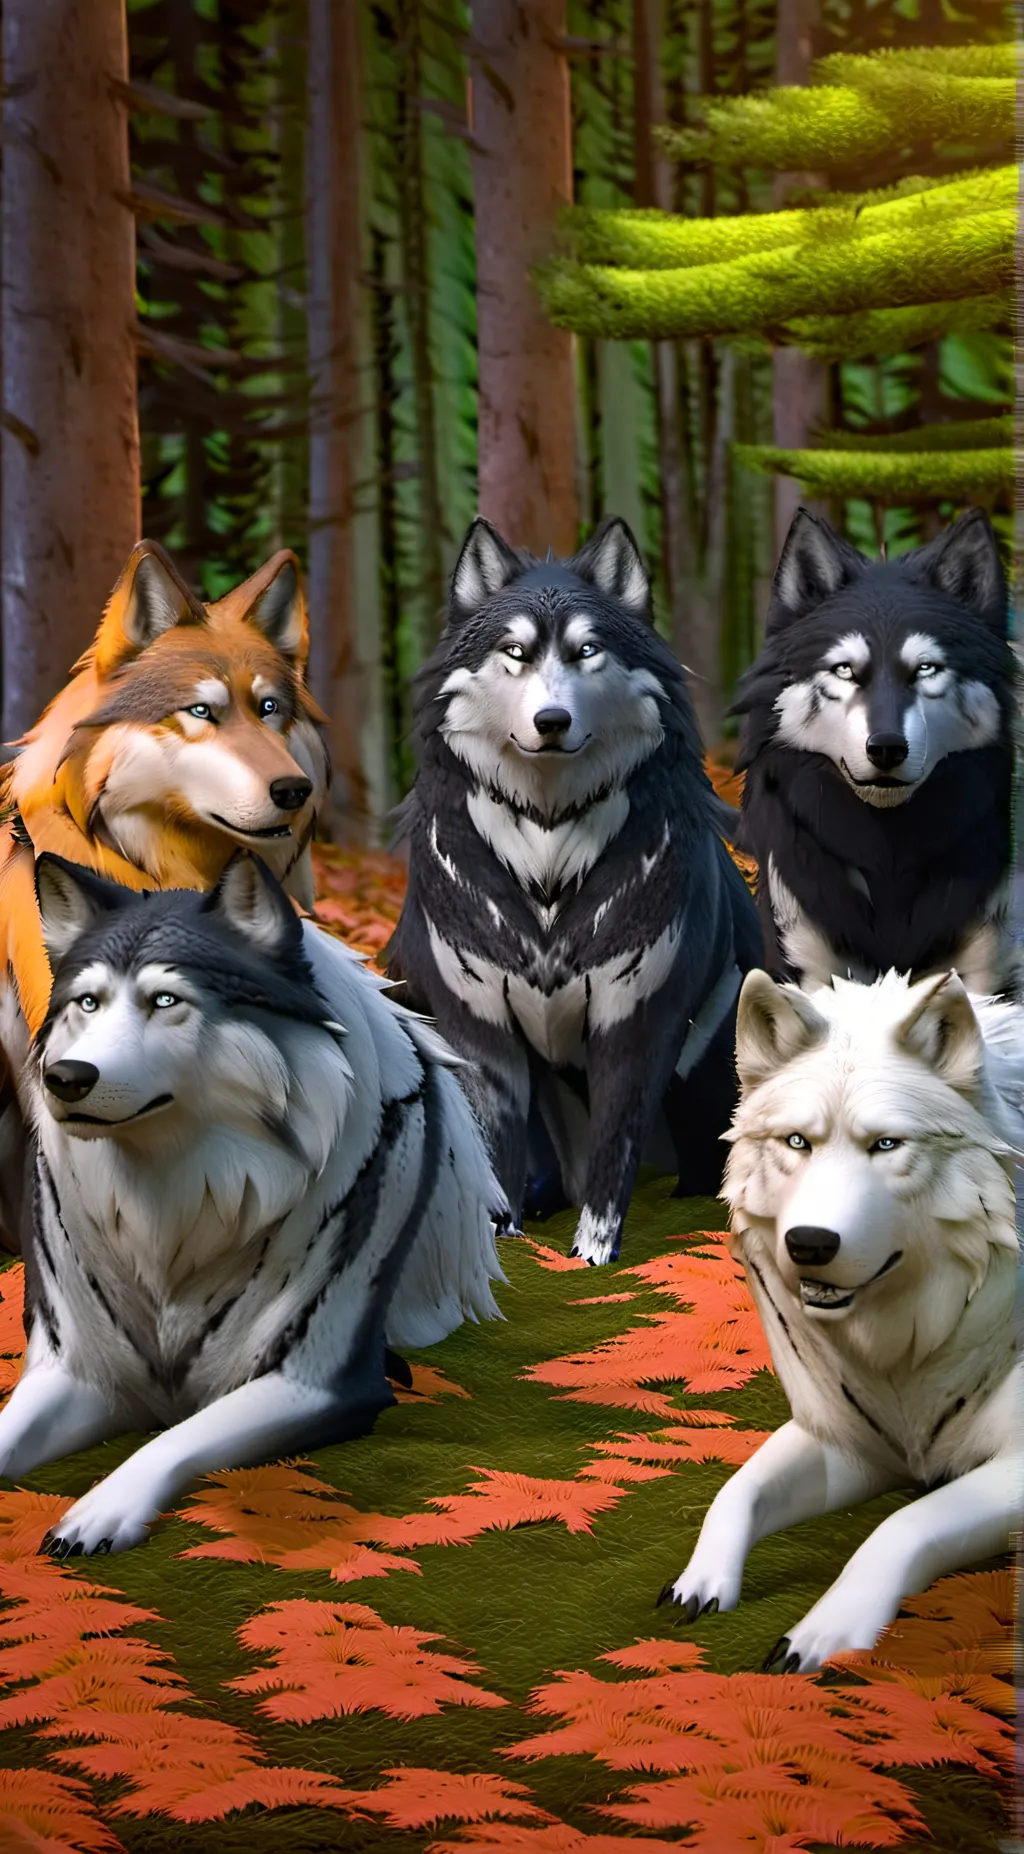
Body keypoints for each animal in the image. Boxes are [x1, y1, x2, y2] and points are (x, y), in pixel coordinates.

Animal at [1, 852, 507, 1557]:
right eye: (88, 1003)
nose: (66, 1078)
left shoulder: (319, 1383)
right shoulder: (75, 1371)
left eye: (165, 1000)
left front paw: (99, 1511)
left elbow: (174, 1436)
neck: (175, 1214)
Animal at [385, 514, 762, 1266]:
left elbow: (615, 1152)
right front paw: (501, 1244)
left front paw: (593, 1255)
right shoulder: (478, 1026)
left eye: (588, 650)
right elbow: (494, 1146)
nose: (552, 721)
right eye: (515, 653)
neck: (549, 867)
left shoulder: (634, 1023)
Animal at [659, 966, 1022, 1671]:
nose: (808, 1244)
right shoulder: (849, 1444)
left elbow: (901, 1526)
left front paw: (824, 1631)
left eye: (886, 1144)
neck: (909, 1350)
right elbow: (737, 1490)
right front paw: (702, 1579)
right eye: (798, 1141)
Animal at [732, 507, 1016, 993]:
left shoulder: (982, 972)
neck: (888, 850)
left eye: (926, 668)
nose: (886, 748)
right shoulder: (811, 966)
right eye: (845, 670)